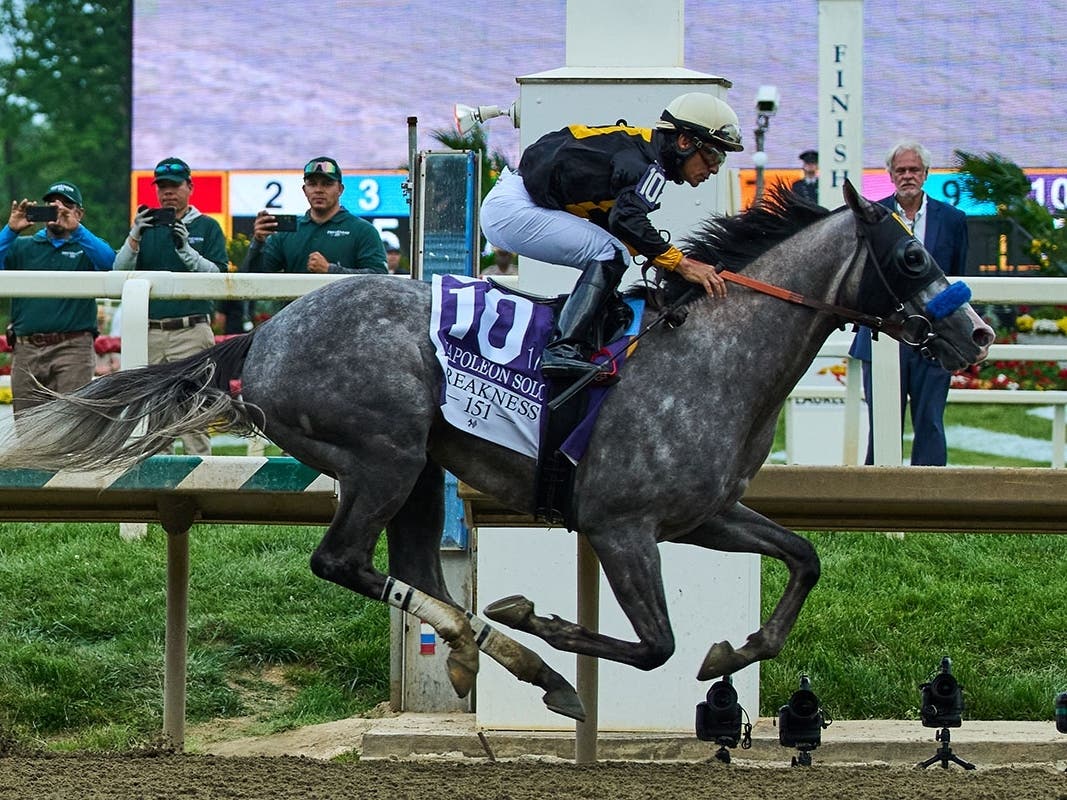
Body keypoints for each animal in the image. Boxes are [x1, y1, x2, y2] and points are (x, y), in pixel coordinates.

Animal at [0, 182, 993, 723]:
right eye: (910, 258)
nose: (978, 334)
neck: (712, 353)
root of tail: (263, 336)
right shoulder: (620, 524)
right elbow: (655, 647)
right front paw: (545, 624)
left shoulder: (703, 513)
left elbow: (803, 557)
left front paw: (739, 649)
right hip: (384, 455)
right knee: (343, 561)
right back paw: (522, 656)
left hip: (417, 468)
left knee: (405, 571)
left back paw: (488, 654)